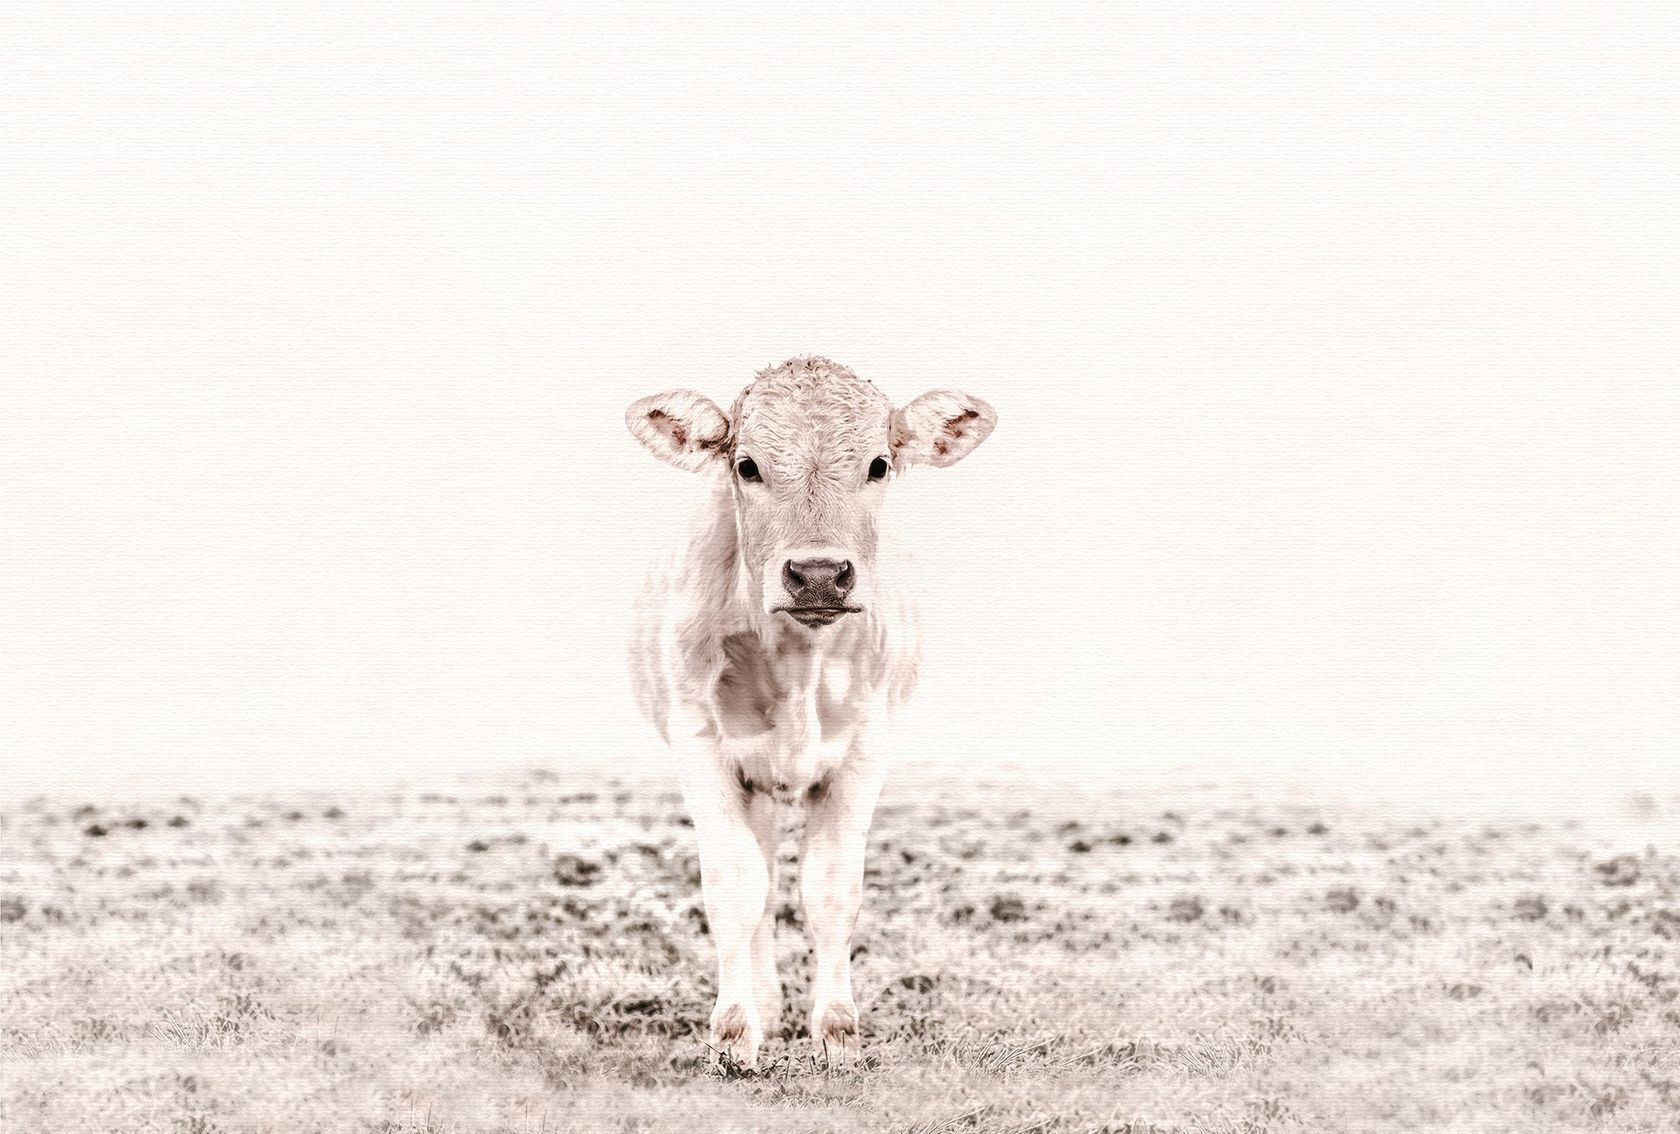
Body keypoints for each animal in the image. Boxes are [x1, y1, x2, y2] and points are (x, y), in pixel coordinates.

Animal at [625, 355, 995, 1069]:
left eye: (879, 464)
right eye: (746, 466)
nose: (819, 574)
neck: (797, 663)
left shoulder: (866, 749)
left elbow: (830, 890)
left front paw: (837, 1032)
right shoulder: (701, 746)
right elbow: (737, 886)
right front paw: (735, 1032)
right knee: (763, 878)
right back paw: (765, 1005)